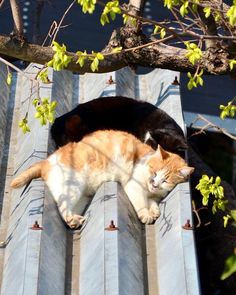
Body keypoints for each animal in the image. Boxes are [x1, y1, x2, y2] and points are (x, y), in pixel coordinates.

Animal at [10, 131, 194, 230]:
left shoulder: (155, 195)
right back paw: (73, 220)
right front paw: (146, 214)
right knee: (63, 208)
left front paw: (154, 210)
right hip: (73, 187)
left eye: (166, 180)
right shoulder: (132, 185)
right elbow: (141, 202)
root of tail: (46, 161)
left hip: (82, 196)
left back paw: (76, 219)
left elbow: (153, 202)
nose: (154, 184)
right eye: (154, 172)